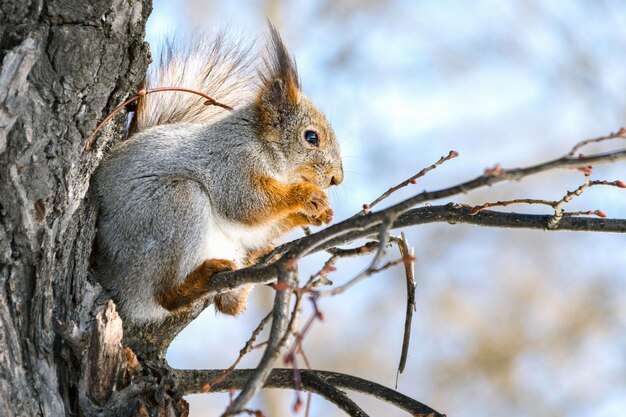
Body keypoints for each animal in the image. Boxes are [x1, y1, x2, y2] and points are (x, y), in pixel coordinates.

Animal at [94, 24, 342, 324]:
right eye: (311, 137)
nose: (337, 179)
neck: (264, 145)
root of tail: (113, 281)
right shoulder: (231, 163)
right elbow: (245, 204)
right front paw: (304, 195)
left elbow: (258, 226)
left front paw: (315, 214)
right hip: (172, 209)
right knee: (167, 296)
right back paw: (195, 282)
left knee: (229, 306)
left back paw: (256, 261)